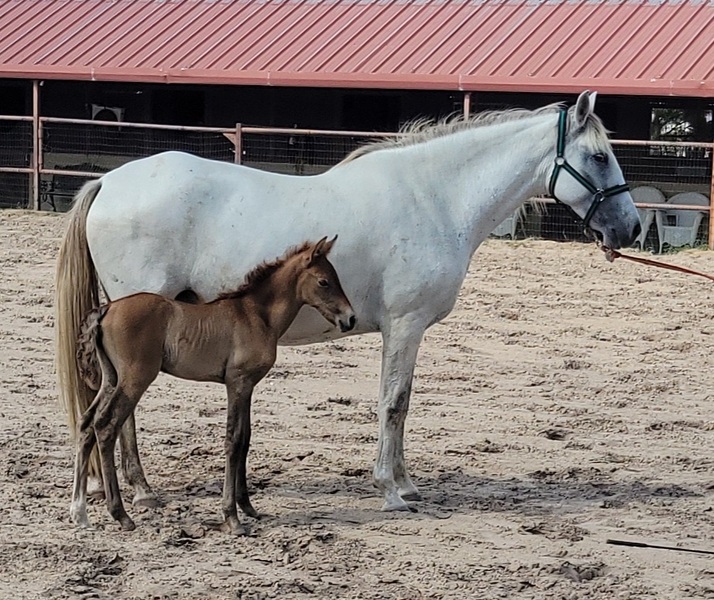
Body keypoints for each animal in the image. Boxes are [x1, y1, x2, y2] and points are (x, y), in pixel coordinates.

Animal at [69, 237, 354, 532]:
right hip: (135, 379)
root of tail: (107, 309)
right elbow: (233, 440)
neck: (256, 314)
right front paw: (232, 517)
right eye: (324, 281)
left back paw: (79, 512)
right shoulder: (237, 383)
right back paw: (120, 514)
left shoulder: (248, 386)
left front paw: (248, 507)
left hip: (111, 378)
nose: (350, 318)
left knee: (87, 423)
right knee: (106, 426)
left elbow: (245, 438)